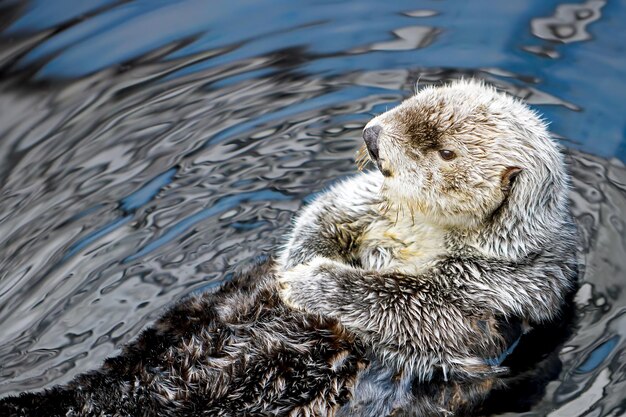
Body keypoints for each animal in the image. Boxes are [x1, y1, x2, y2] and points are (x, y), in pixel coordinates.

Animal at [0, 79, 576, 414]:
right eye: (411, 101)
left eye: (445, 151)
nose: (372, 135)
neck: (421, 227)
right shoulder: (372, 198)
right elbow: (331, 206)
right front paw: (295, 262)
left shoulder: (501, 289)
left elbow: (417, 307)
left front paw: (312, 283)